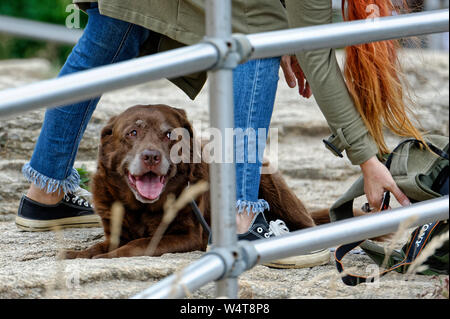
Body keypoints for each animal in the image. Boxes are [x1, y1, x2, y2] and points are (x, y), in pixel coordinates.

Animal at [64, 105, 326, 260]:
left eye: (169, 134)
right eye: (132, 133)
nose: (151, 156)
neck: (142, 208)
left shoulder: (190, 235)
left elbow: (140, 243)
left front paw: (106, 258)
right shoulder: (115, 231)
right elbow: (100, 246)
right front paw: (77, 253)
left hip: (274, 188)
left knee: (307, 223)